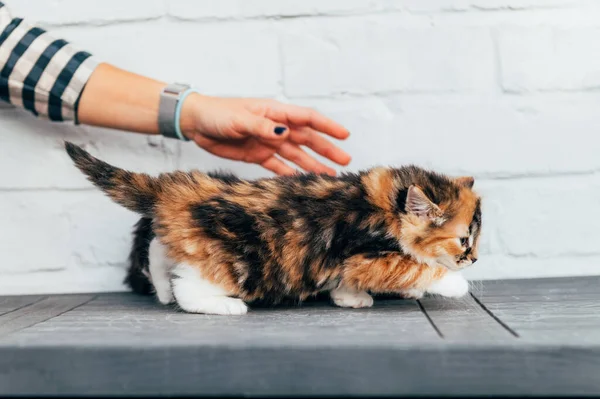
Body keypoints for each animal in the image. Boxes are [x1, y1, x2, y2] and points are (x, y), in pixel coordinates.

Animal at [64, 141, 482, 316]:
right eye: (464, 239)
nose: (474, 259)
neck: (384, 202)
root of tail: (181, 189)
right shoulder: (364, 253)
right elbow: (413, 266)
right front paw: (454, 284)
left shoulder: (342, 261)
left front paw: (350, 298)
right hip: (235, 261)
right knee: (188, 285)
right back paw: (222, 306)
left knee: (160, 251)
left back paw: (162, 291)